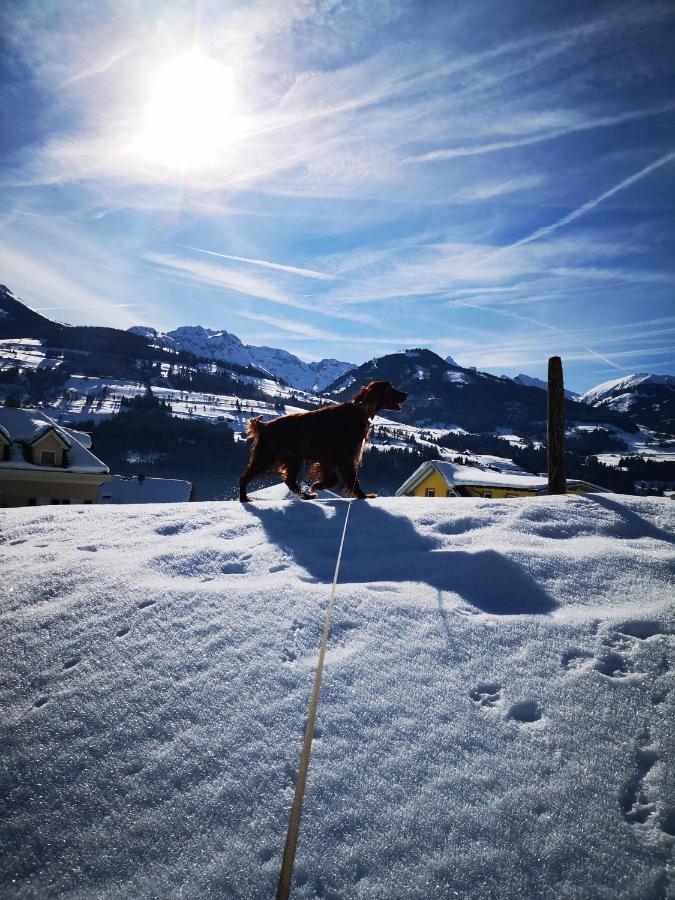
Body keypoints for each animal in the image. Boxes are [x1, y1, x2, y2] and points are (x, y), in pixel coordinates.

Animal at [238, 380, 406, 502]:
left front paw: (317, 485)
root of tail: (264, 426)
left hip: (294, 459)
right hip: (266, 457)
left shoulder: (329, 458)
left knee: (290, 481)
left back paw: (306, 496)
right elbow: (352, 479)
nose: (405, 394)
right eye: (389, 388)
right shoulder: (345, 457)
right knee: (244, 477)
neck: (359, 410)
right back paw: (244, 498)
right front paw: (363, 496)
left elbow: (334, 479)